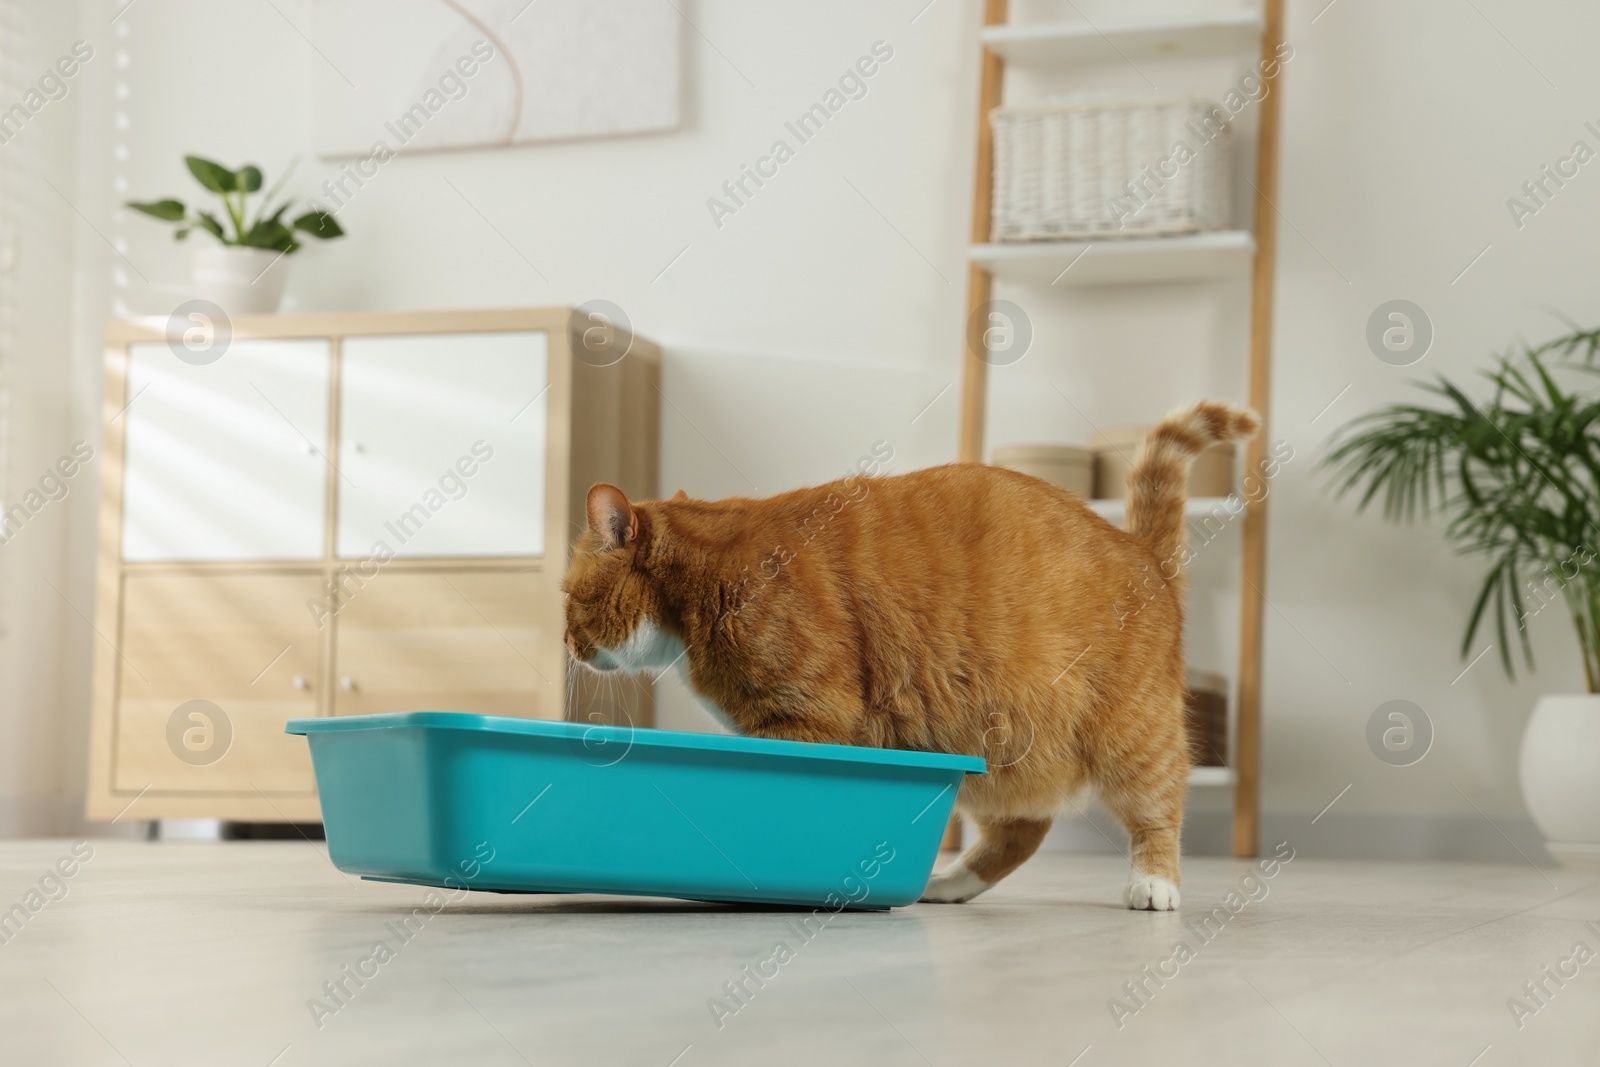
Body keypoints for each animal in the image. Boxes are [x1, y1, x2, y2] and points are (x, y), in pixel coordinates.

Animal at [563, 399, 1260, 908]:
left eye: (568, 596)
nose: (566, 642)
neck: (708, 576)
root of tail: (1143, 554)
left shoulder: (808, 720)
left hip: (1131, 737)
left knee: (1156, 809)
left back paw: (1154, 883)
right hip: (996, 751)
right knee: (1025, 827)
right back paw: (948, 884)